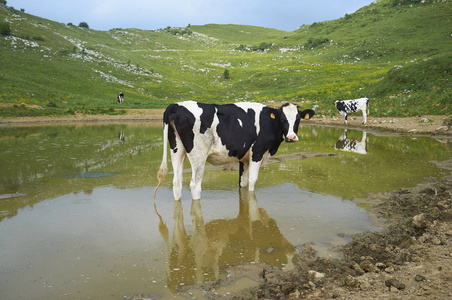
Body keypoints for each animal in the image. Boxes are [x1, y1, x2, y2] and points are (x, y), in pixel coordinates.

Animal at [153, 99, 314, 200]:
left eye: (298, 119)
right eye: (282, 119)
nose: (291, 137)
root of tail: (176, 105)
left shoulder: (244, 157)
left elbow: (242, 182)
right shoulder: (257, 152)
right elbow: (252, 180)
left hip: (177, 150)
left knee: (177, 183)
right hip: (198, 155)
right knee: (195, 186)